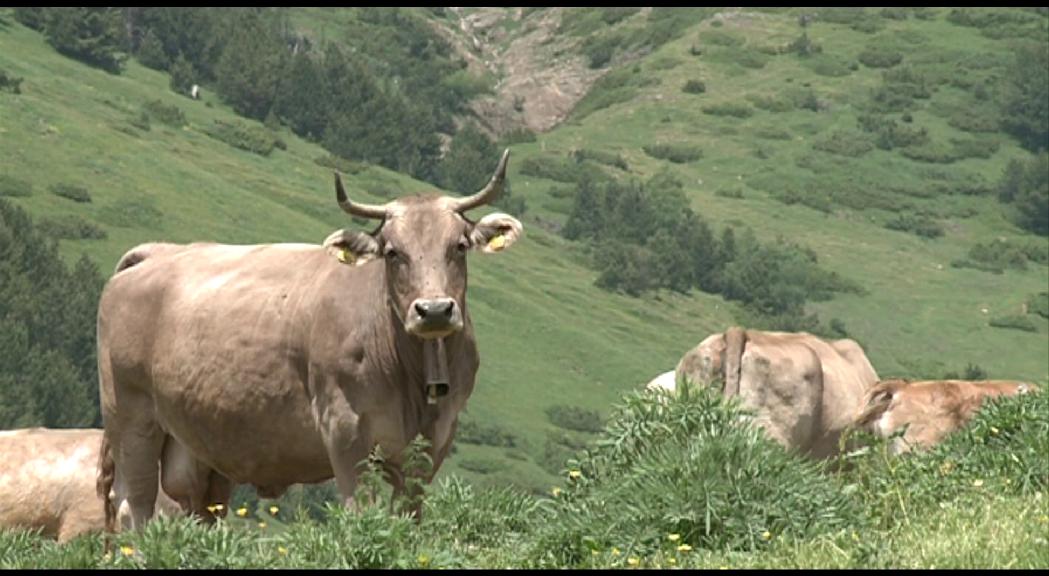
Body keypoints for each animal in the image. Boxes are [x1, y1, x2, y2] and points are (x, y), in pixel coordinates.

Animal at [97, 148, 520, 530]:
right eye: (392, 252)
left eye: (459, 246)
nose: (433, 310)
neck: (413, 376)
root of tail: (159, 252)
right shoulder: (345, 430)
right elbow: (359, 515)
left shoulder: (433, 443)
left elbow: (409, 520)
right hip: (131, 414)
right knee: (135, 505)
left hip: (196, 440)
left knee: (196, 508)